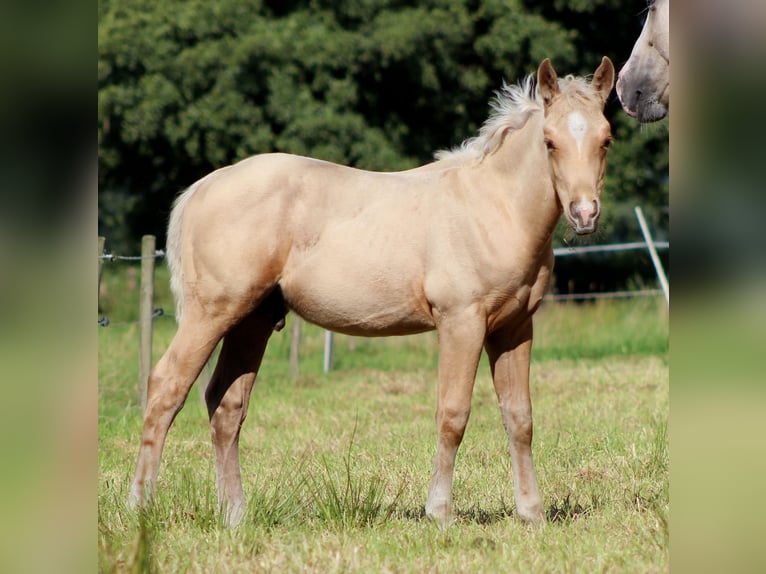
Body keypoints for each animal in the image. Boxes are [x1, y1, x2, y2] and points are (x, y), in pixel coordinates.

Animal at [128, 57, 615, 528]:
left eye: (606, 140)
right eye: (549, 142)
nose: (584, 214)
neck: (493, 207)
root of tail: (201, 188)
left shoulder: (514, 328)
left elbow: (519, 418)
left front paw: (532, 514)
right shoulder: (461, 322)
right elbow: (453, 415)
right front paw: (440, 513)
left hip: (253, 321)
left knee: (226, 406)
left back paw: (234, 516)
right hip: (211, 314)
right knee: (166, 388)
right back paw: (140, 508)